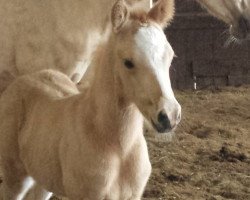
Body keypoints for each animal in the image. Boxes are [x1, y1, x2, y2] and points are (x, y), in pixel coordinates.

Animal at [0, 0, 180, 199]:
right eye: (128, 62)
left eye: (170, 56)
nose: (169, 116)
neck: (118, 149)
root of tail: (20, 81)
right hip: (15, 177)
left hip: (44, 177)